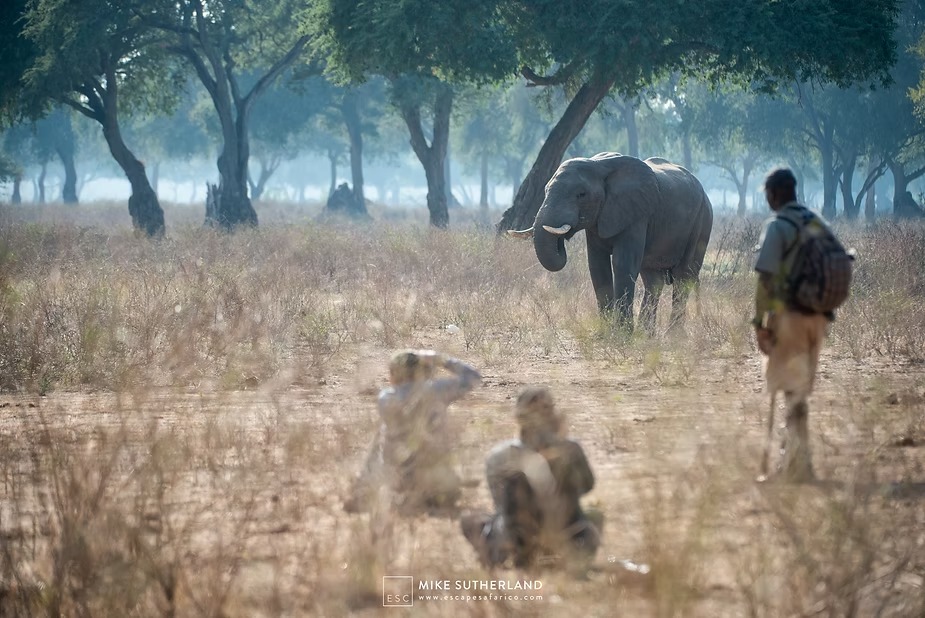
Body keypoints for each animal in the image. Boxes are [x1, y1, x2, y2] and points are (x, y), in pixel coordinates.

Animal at [510, 153, 713, 332]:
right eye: (545, 191)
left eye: (581, 194)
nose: (561, 240)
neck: (597, 164)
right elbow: (597, 266)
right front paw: (606, 333)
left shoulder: (637, 214)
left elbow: (622, 264)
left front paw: (622, 335)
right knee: (653, 280)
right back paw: (647, 335)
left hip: (703, 220)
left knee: (683, 276)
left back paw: (673, 336)